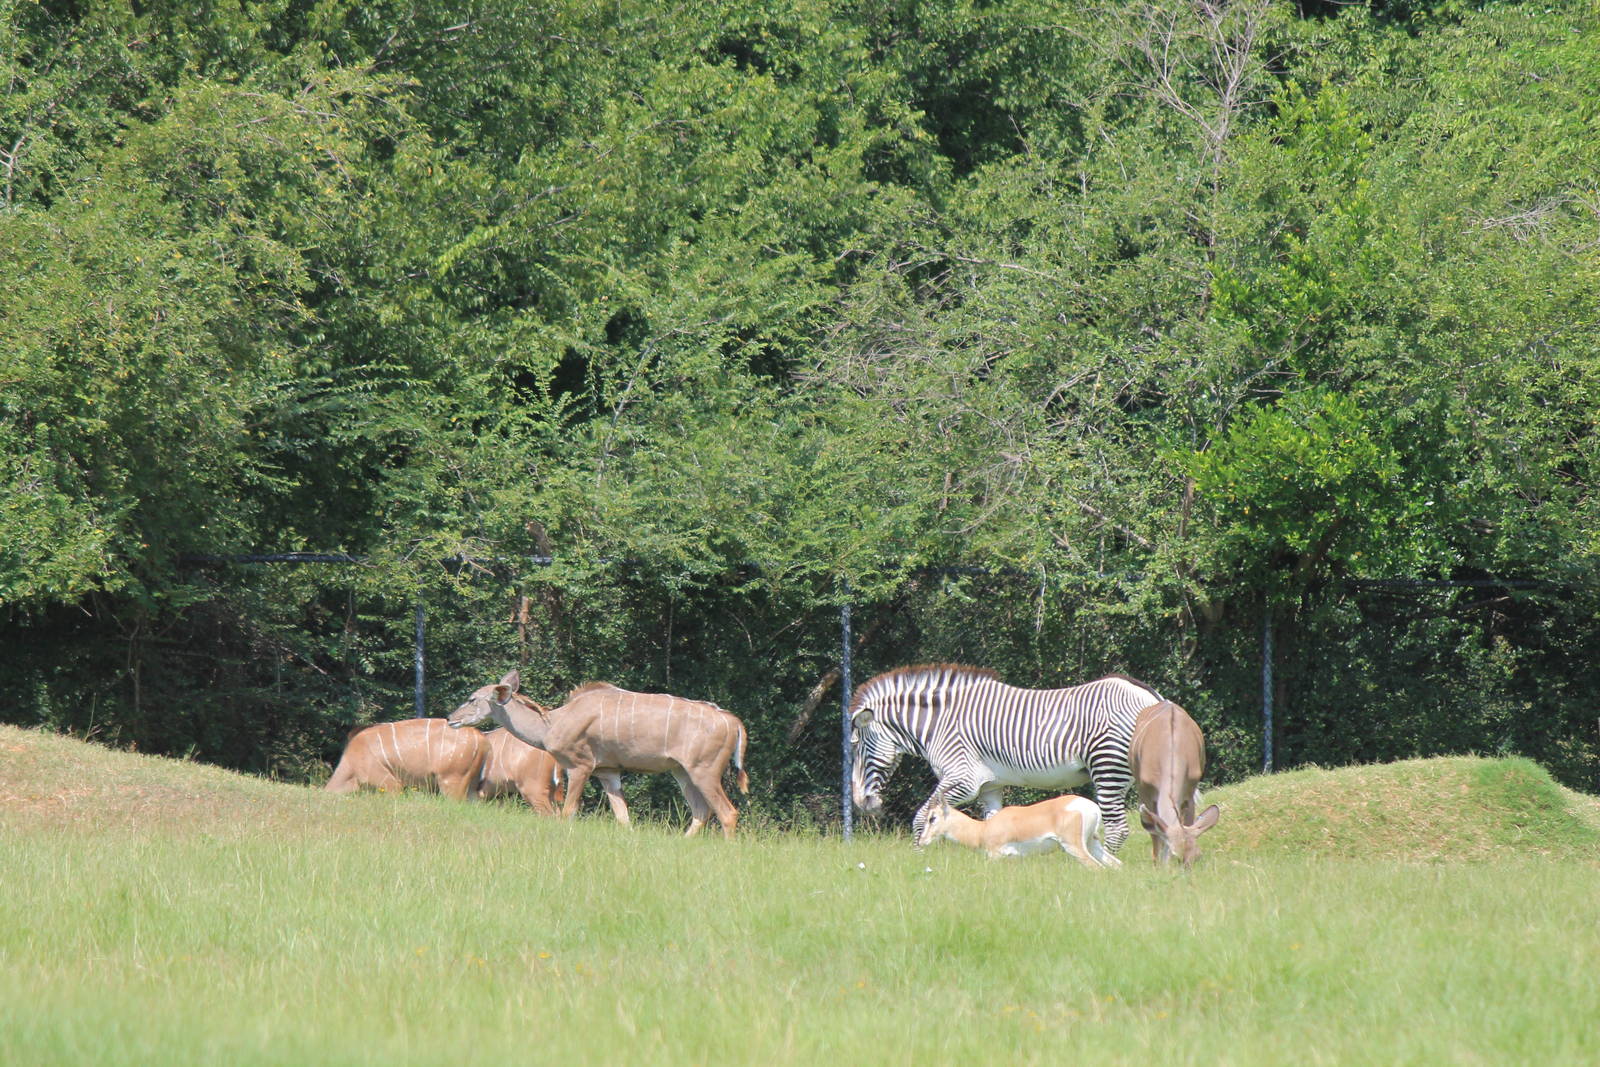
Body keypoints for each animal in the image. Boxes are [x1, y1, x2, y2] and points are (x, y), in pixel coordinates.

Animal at [447, 670, 750, 838]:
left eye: (472, 698)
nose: (451, 719)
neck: (552, 723)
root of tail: (734, 723)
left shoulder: (580, 765)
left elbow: (568, 811)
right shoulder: (608, 771)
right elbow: (623, 817)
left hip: (704, 770)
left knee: (727, 813)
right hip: (682, 771)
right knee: (701, 810)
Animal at [848, 663, 1163, 852]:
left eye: (857, 746)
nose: (861, 803)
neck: (939, 723)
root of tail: (1151, 697)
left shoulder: (962, 778)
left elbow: (922, 816)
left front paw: (919, 856)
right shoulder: (990, 786)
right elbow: (992, 825)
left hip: (1108, 767)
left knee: (1117, 828)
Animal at [916, 792, 1121, 868]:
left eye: (932, 818)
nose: (922, 841)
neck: (982, 829)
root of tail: (1093, 807)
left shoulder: (995, 855)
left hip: (1074, 846)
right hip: (1092, 843)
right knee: (1116, 864)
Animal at [1128, 700, 1220, 869]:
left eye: (1198, 856)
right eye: (1175, 855)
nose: (1187, 870)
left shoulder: (1189, 793)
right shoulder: (1146, 794)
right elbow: (1155, 833)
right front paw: (1156, 864)